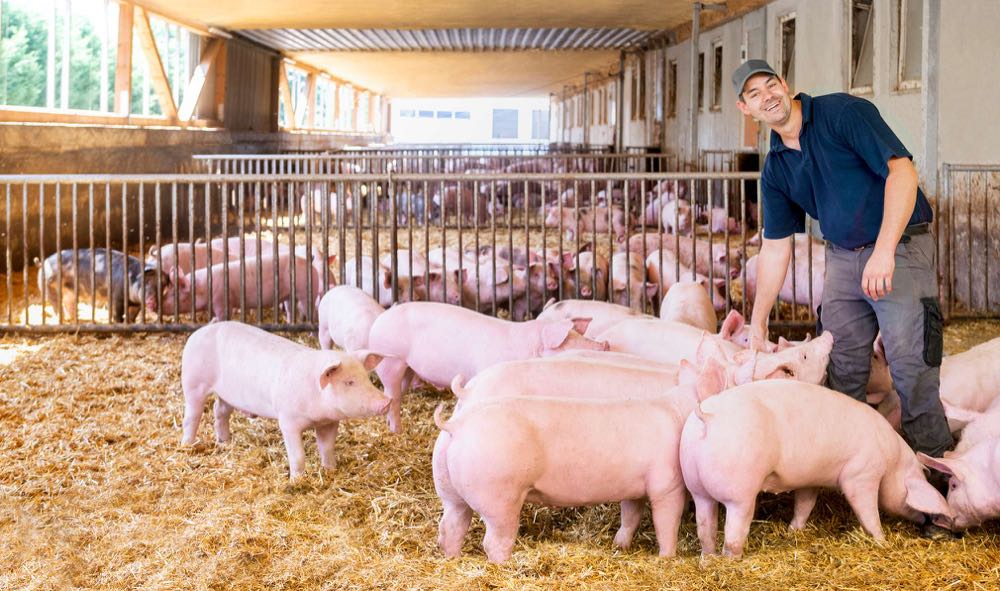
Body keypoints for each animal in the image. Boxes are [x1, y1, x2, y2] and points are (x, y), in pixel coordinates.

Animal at [178, 320, 388, 480]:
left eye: (366, 378)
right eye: (349, 382)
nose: (387, 401)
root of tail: (199, 331)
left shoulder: (329, 422)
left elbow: (327, 448)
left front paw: (330, 470)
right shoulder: (288, 421)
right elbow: (298, 456)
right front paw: (297, 481)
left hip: (227, 395)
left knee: (219, 411)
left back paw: (225, 442)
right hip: (193, 381)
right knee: (191, 416)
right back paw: (187, 445)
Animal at [680, 380, 952, 560]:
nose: (927, 521)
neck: (891, 460)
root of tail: (708, 418)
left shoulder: (810, 481)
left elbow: (805, 504)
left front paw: (793, 531)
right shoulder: (861, 474)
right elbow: (866, 508)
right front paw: (882, 541)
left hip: (696, 486)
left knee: (704, 527)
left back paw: (708, 560)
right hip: (740, 491)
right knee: (733, 531)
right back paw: (732, 560)